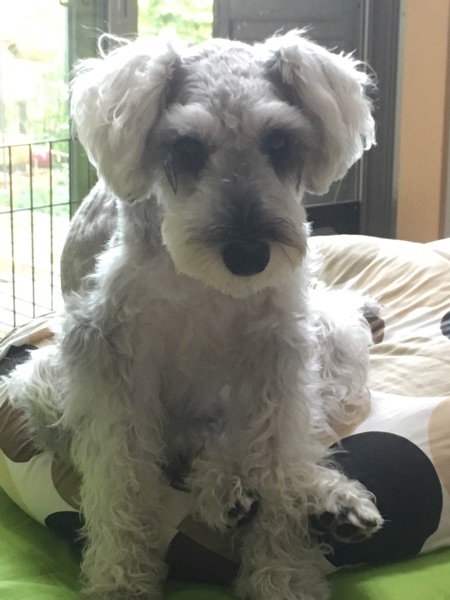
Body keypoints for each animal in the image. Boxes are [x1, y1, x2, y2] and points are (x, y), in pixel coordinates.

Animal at [6, 31, 383, 600]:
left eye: (279, 142)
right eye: (185, 147)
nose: (249, 254)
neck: (206, 287)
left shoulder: (279, 354)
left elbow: (280, 455)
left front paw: (283, 574)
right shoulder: (109, 359)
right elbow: (122, 476)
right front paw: (121, 577)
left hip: (332, 334)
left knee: (277, 444)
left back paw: (316, 497)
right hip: (41, 383)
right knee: (183, 448)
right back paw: (229, 490)